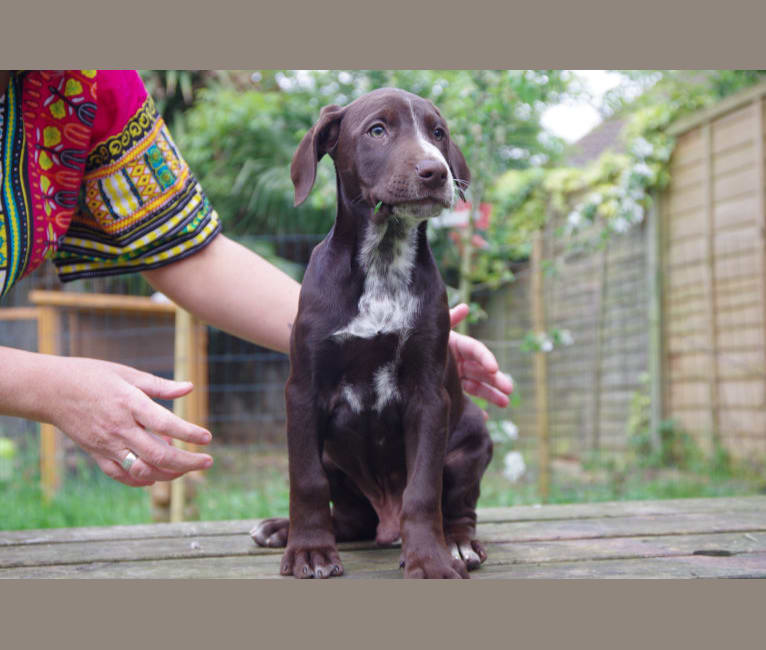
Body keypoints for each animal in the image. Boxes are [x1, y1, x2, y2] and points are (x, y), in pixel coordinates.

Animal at [252, 87, 492, 576]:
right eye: (377, 130)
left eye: (438, 133)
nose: (436, 171)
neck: (384, 257)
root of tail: (386, 523)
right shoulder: (303, 390)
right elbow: (306, 480)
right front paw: (308, 550)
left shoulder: (428, 395)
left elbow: (423, 490)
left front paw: (430, 558)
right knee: (347, 518)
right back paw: (282, 529)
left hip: (474, 436)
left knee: (458, 507)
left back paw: (458, 543)